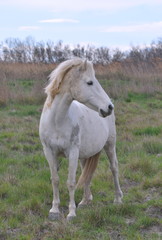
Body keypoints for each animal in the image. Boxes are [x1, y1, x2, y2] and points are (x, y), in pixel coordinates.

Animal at [39, 58, 123, 221]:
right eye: (89, 82)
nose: (109, 107)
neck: (57, 121)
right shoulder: (49, 151)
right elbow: (55, 179)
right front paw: (54, 210)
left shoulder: (72, 152)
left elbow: (71, 182)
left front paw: (71, 213)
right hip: (85, 154)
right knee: (87, 173)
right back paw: (85, 201)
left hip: (110, 145)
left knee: (114, 168)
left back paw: (117, 199)